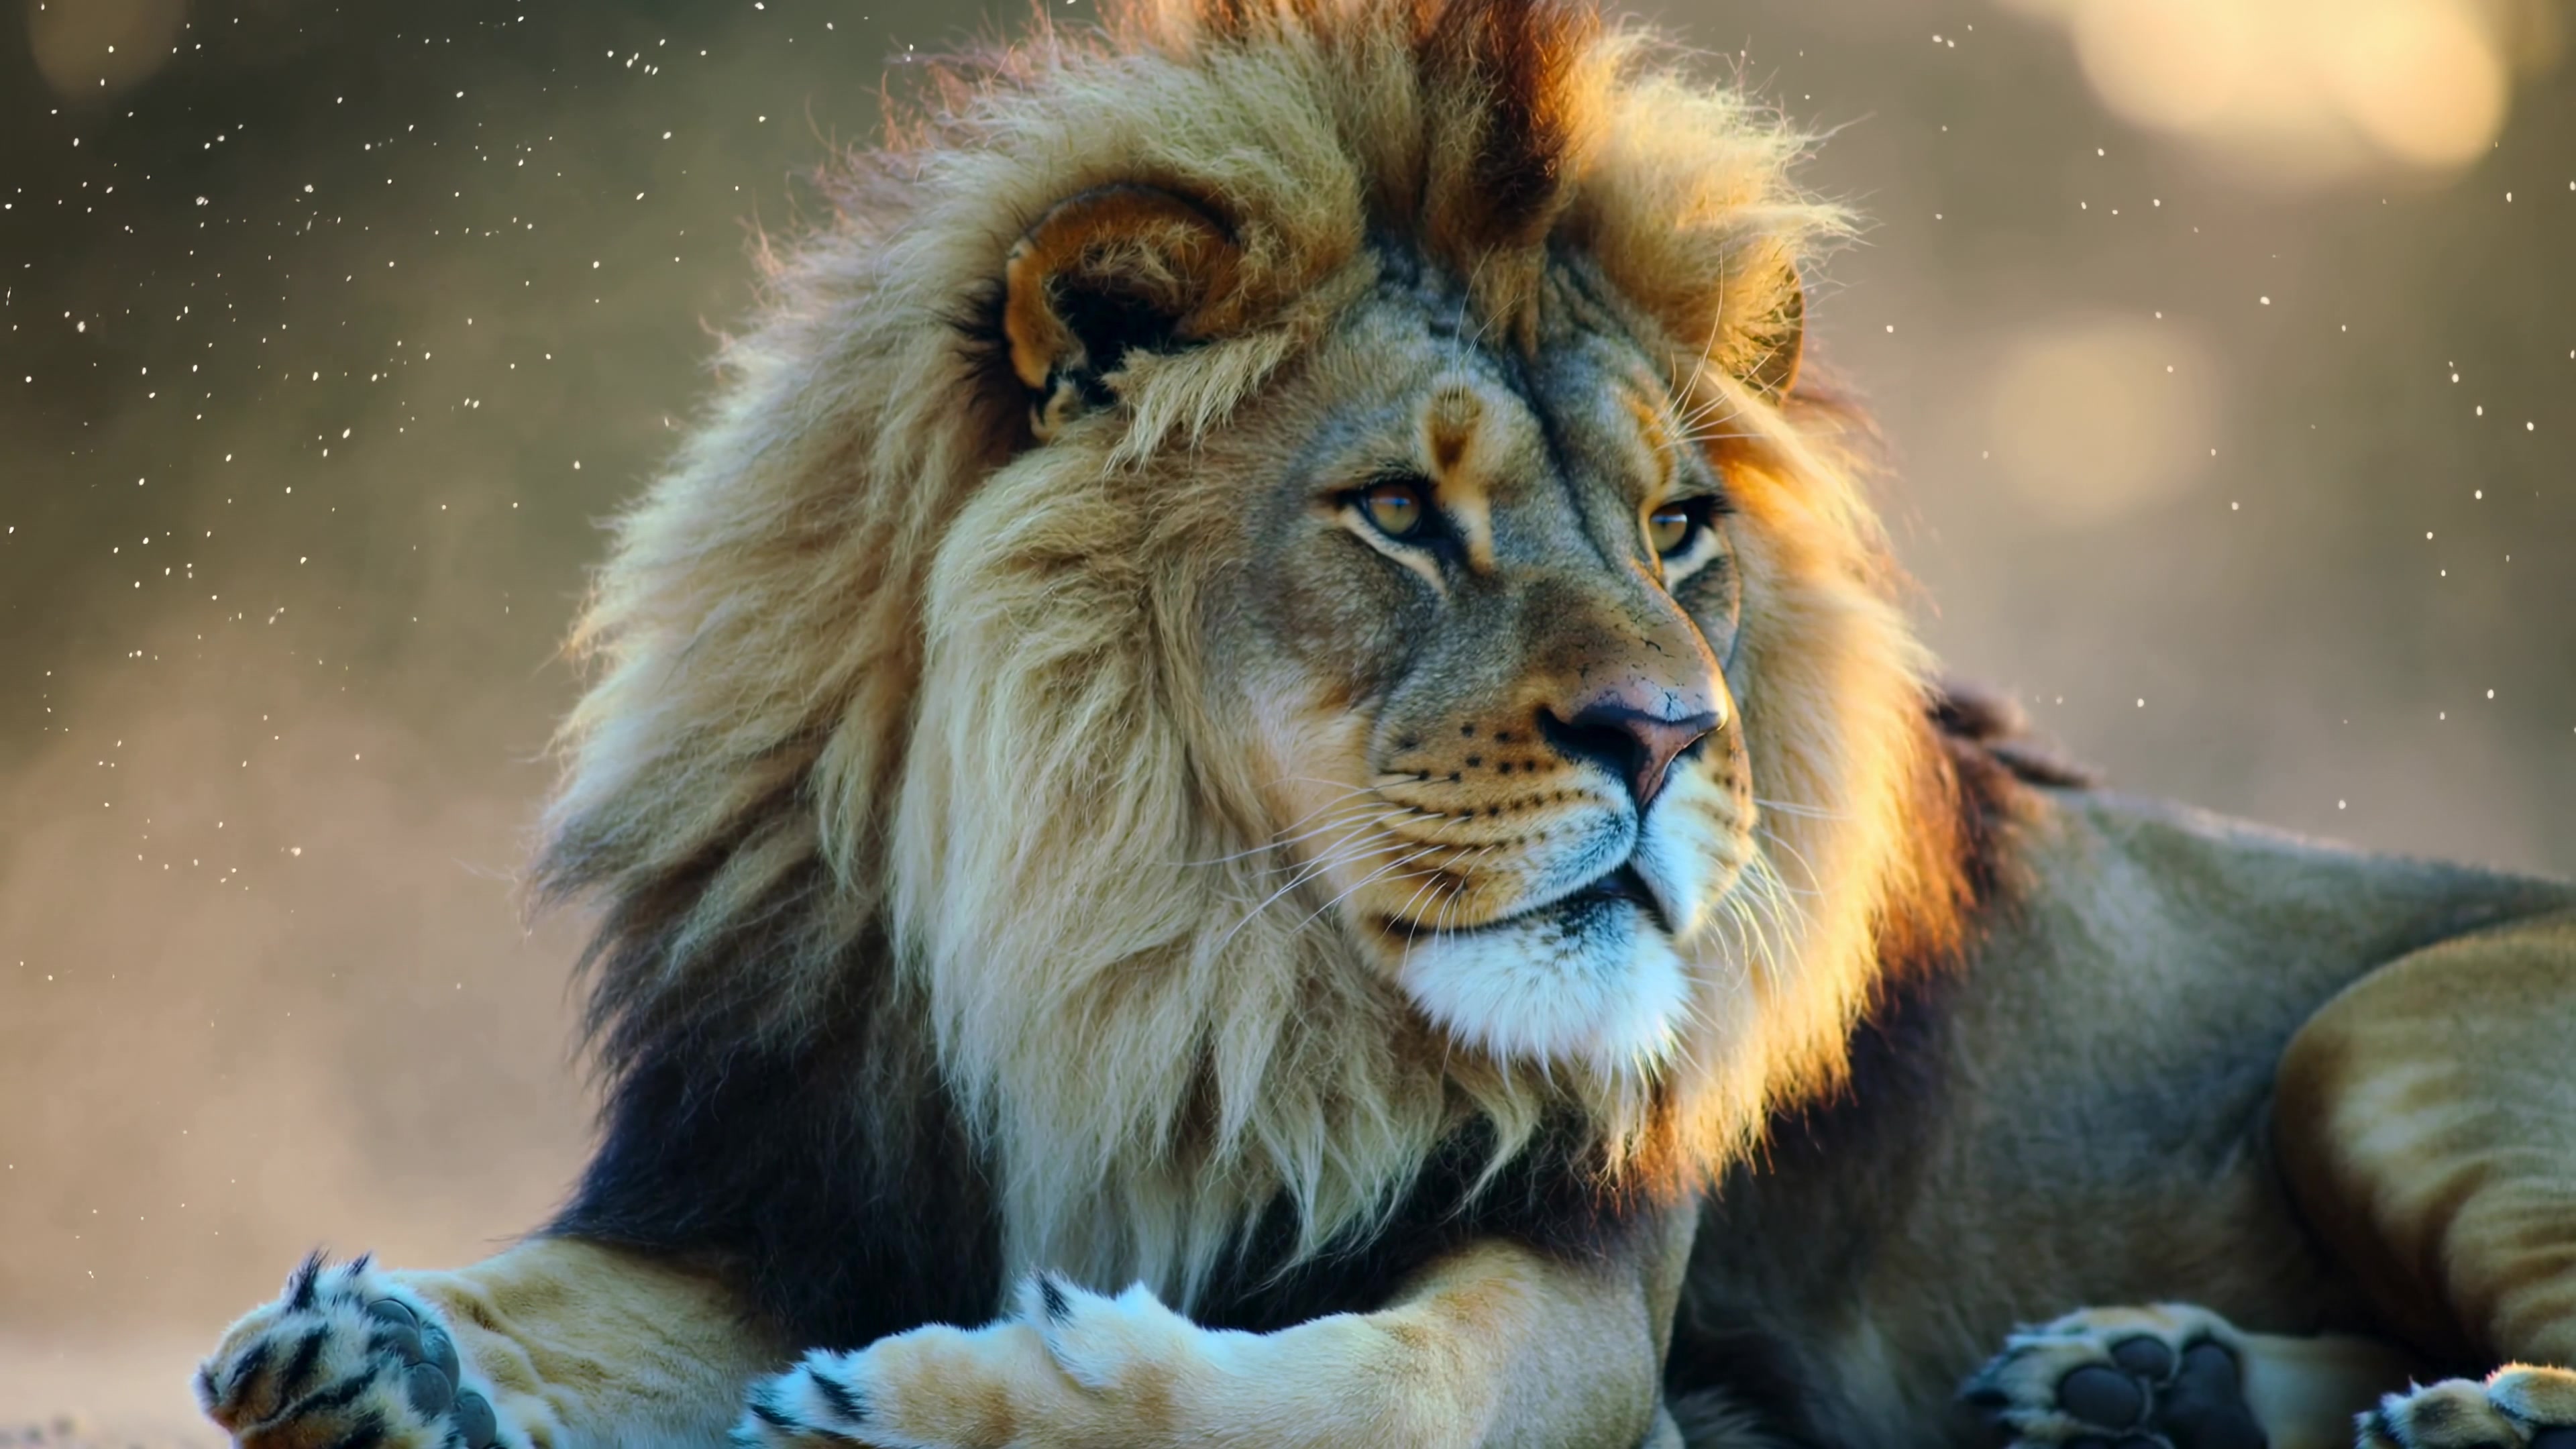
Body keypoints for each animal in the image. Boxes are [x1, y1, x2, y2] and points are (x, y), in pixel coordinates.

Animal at [192, 2, 2576, 1448]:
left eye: (1681, 527)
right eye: (1401, 518)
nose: (1667, 740)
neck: (1145, 945)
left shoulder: (1588, 1308)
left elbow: (1353, 1393)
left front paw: (954, 1398)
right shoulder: (785, 1185)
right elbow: (568, 1296)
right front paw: (377, 1348)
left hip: (2381, 1030)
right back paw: (2140, 1384)